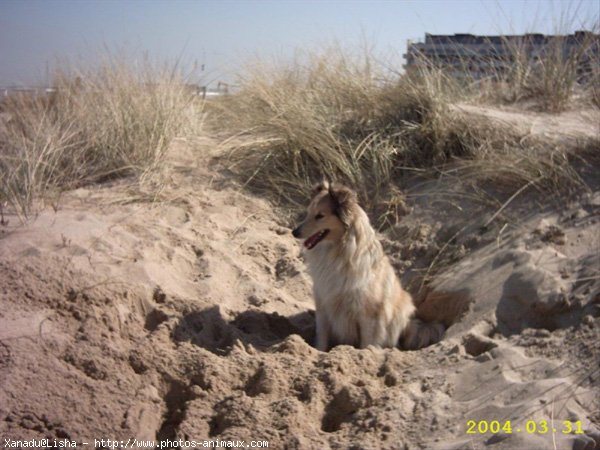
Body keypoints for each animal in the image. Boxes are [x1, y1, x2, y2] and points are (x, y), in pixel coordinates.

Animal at [292, 181, 442, 350]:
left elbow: (367, 342)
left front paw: (364, 353)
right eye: (308, 213)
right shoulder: (323, 305)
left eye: (320, 216)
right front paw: (319, 351)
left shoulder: (368, 314)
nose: (294, 232)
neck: (339, 251)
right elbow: (322, 337)